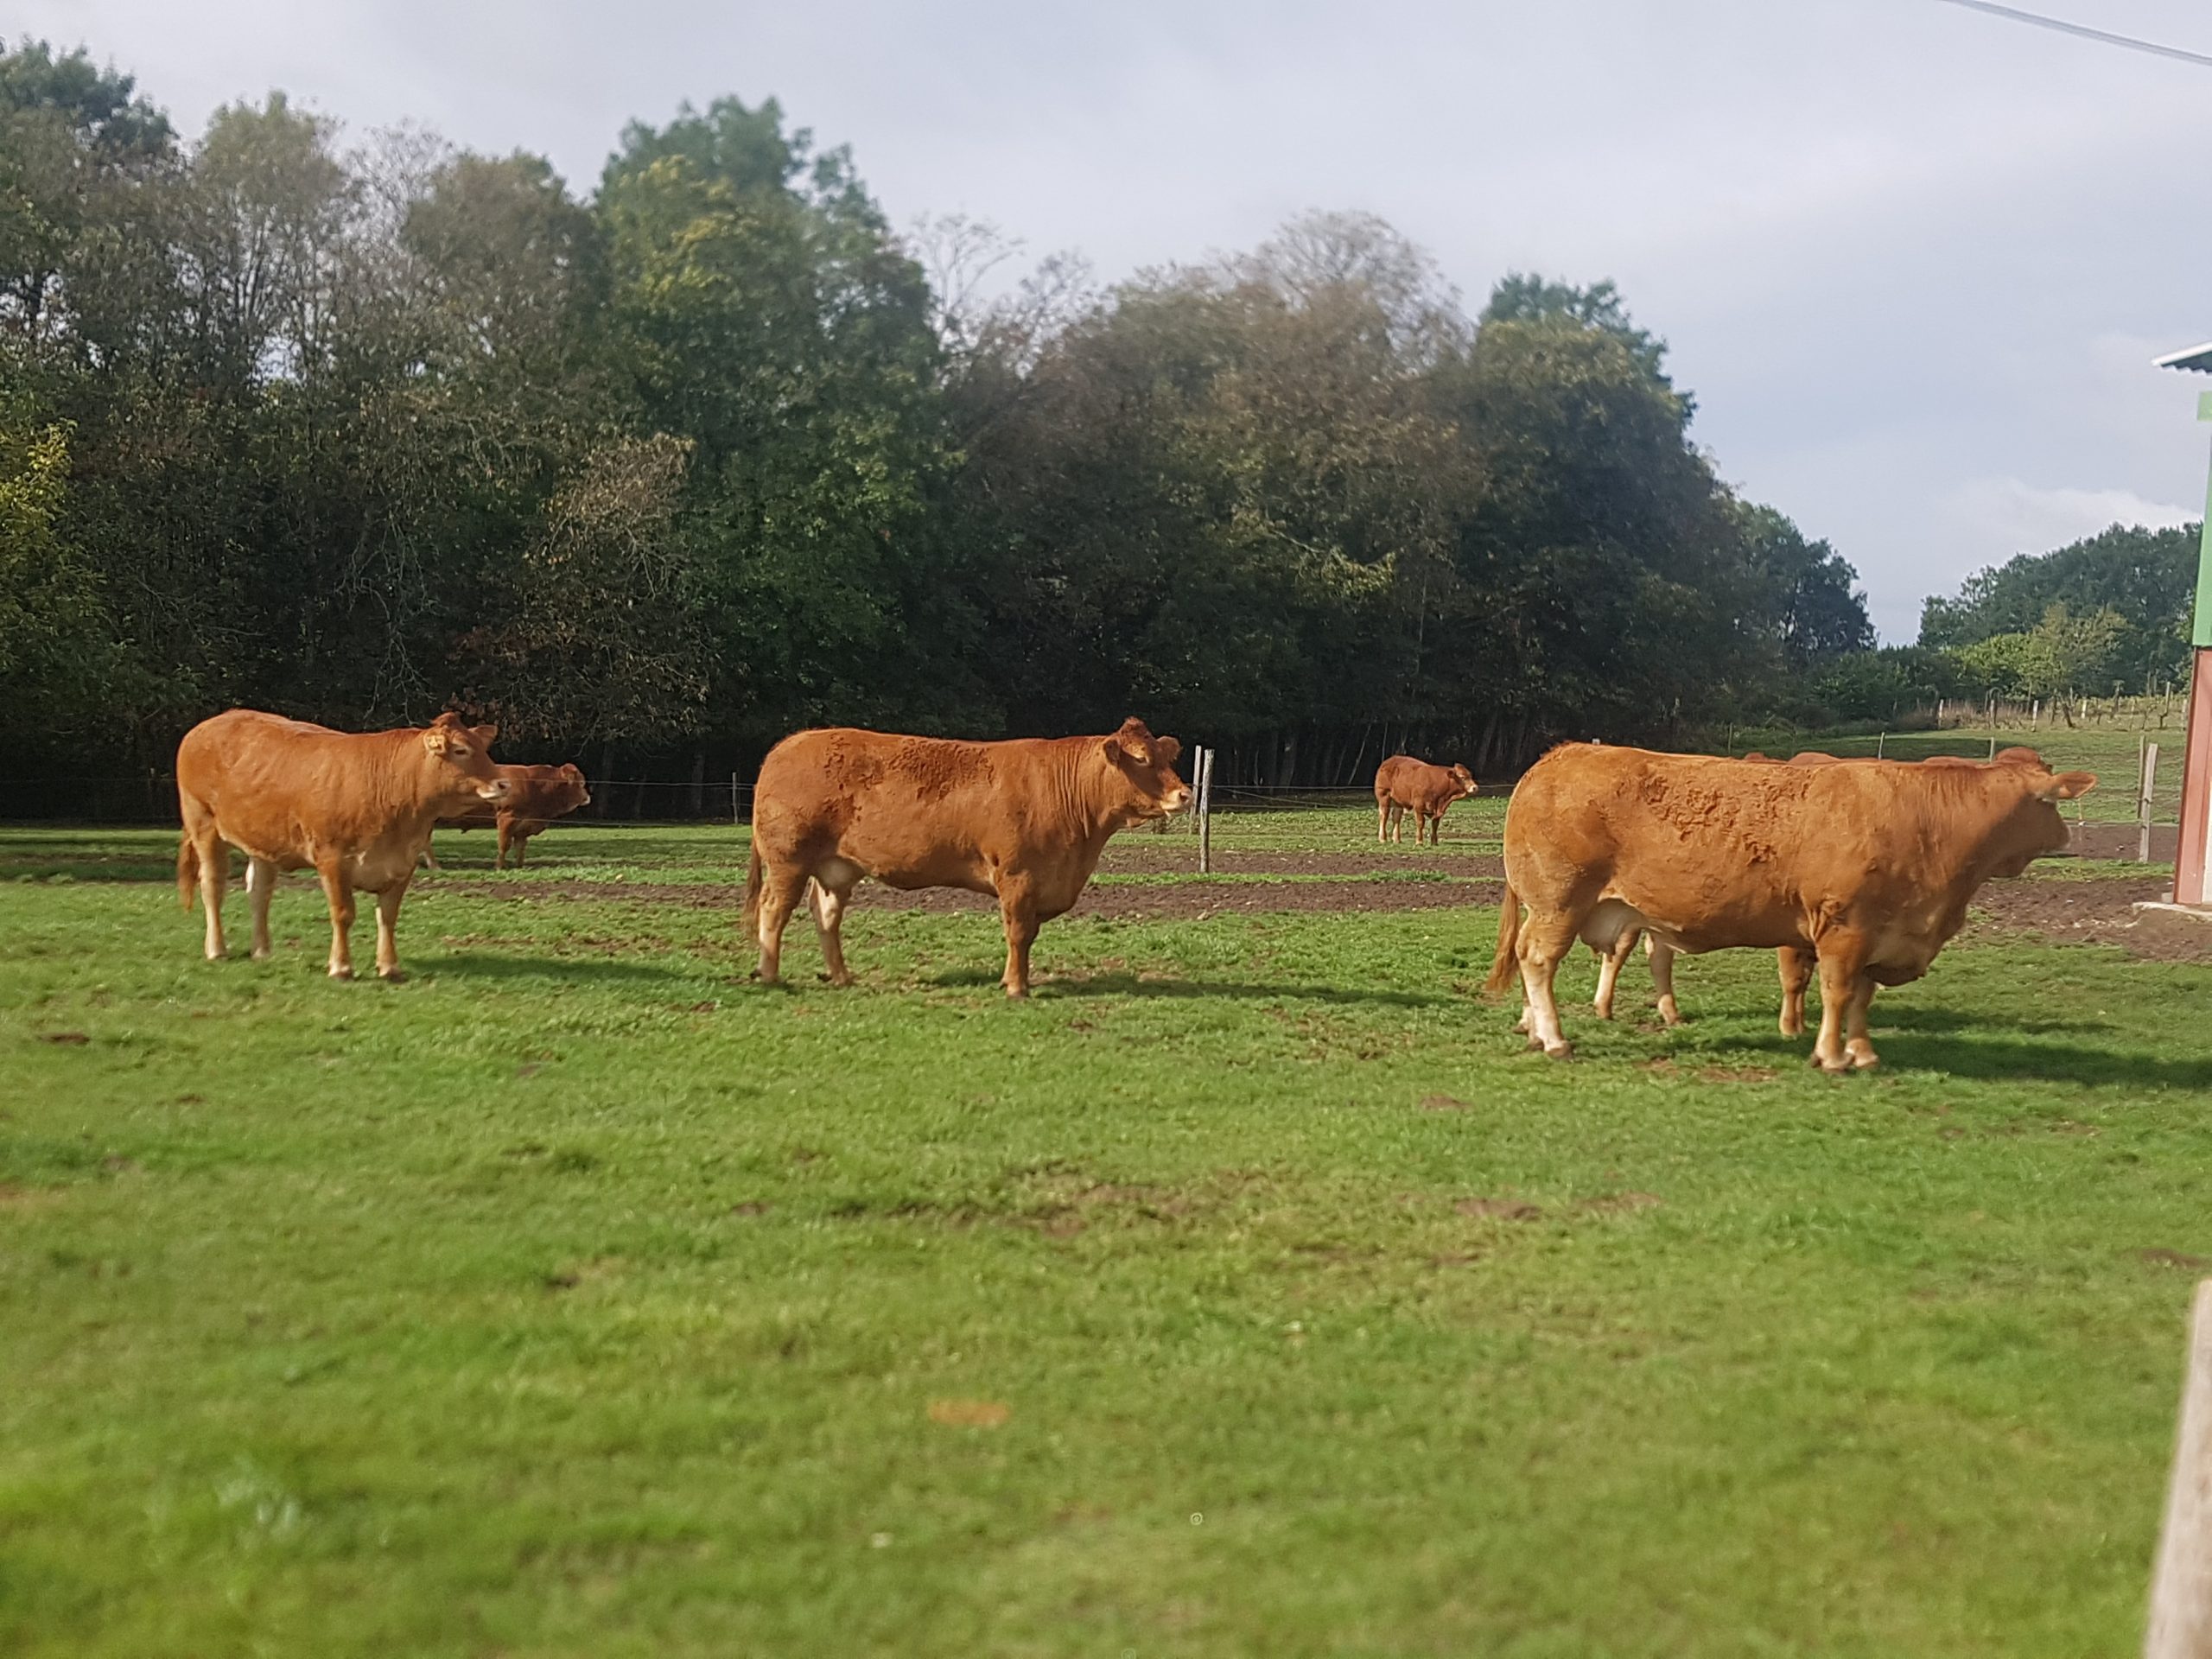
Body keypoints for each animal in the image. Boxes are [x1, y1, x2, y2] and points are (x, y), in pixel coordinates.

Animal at [172, 708, 508, 982]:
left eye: (483, 748)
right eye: (461, 750)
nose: (503, 783)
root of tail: (206, 725)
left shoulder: (404, 863)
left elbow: (388, 916)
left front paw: (390, 967)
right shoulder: (332, 860)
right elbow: (343, 913)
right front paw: (341, 967)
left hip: (263, 839)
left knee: (259, 892)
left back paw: (262, 951)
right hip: (203, 823)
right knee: (212, 885)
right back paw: (217, 949)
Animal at [424, 765, 588, 871]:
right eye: (581, 783)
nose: (588, 797)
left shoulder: (523, 825)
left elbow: (521, 846)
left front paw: (519, 866)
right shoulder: (507, 817)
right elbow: (504, 844)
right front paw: (499, 867)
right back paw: (435, 866)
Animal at [743, 716, 1194, 1000]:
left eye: (1166, 757)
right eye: (1141, 759)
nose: (1185, 793)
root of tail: (792, 742)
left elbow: (1024, 934)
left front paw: (1013, 980)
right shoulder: (1018, 876)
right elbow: (1018, 933)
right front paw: (1017, 987)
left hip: (836, 867)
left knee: (826, 915)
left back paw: (841, 977)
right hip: (788, 860)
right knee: (774, 909)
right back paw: (769, 975)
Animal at [1486, 743, 2088, 1079]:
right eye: (2050, 803)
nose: (2066, 837)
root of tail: (1558, 756)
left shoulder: (1881, 933)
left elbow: (1862, 998)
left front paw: (1863, 1053)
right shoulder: (1845, 927)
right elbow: (1838, 992)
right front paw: (1831, 1056)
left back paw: (1536, 1030)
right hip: (1559, 903)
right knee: (1537, 961)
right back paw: (1555, 1039)